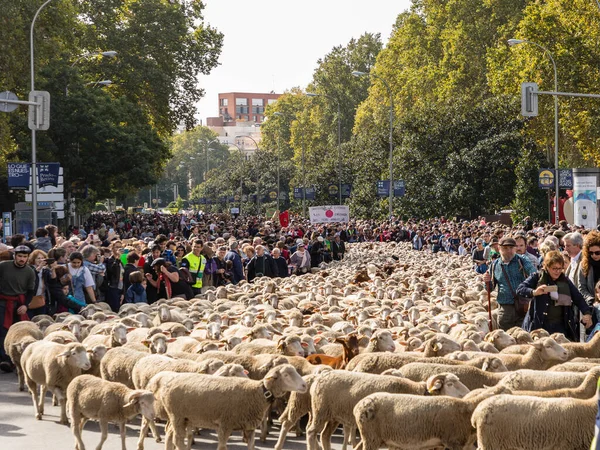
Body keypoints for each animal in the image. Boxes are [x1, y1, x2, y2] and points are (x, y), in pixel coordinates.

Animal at [159, 364, 308, 450]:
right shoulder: (225, 425)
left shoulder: (249, 427)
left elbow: (251, 447)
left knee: (169, 434)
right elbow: (222, 447)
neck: (257, 392)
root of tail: (168, 383)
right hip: (177, 416)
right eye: (286, 375)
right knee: (178, 440)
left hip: (181, 418)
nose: (305, 385)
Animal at [304, 370, 468, 450]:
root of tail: (318, 379)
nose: (467, 394)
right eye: (450, 384)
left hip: (333, 416)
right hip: (320, 411)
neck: (416, 391)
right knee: (311, 432)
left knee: (324, 435)